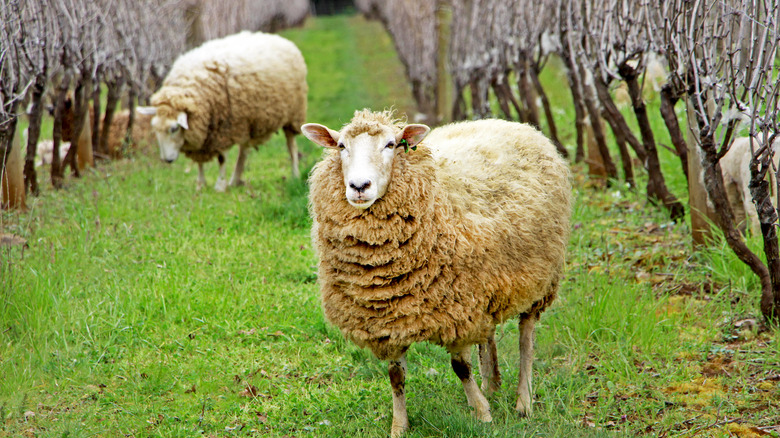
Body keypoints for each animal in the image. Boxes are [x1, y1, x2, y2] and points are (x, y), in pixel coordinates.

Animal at [139, 30, 310, 192]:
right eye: (155, 129)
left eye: (174, 129)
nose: (167, 160)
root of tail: (277, 38)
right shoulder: (206, 134)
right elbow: (199, 161)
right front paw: (201, 184)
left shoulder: (225, 129)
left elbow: (221, 158)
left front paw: (220, 186)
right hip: (248, 121)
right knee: (243, 150)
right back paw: (235, 179)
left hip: (293, 114)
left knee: (291, 145)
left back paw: (295, 174)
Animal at [304, 109, 572, 438]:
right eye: (341, 146)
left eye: (391, 144)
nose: (359, 186)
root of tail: (507, 122)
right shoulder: (388, 319)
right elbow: (396, 377)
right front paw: (400, 426)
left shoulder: (455, 309)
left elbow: (461, 368)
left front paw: (483, 414)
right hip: (488, 282)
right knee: (488, 334)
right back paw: (491, 384)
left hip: (540, 277)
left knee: (526, 337)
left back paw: (523, 401)